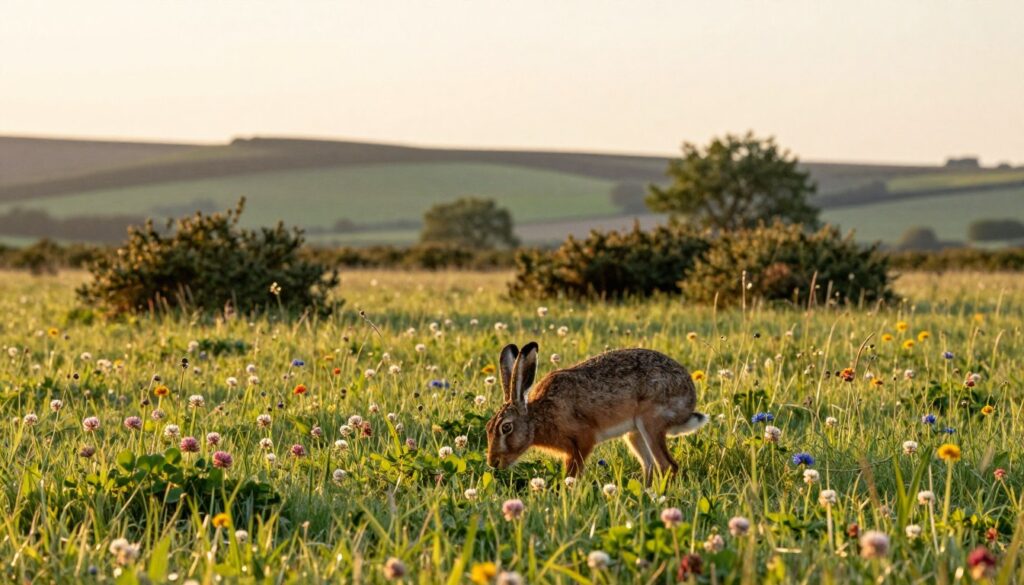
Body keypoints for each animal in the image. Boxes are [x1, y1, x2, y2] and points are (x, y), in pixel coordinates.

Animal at [485, 341, 707, 482]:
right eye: (488, 428)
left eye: (506, 428)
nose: (493, 462)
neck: (537, 418)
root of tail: (689, 400)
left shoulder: (581, 442)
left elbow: (571, 476)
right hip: (634, 433)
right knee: (649, 465)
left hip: (651, 422)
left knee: (667, 466)